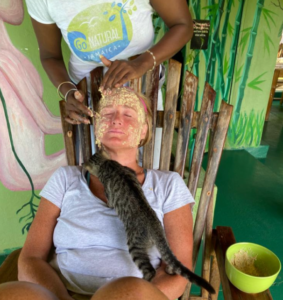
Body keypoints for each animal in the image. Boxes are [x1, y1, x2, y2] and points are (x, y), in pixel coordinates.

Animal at [84, 154, 215, 294]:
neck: (107, 163)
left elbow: (109, 201)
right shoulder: (130, 171)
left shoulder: (109, 192)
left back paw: (144, 279)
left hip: (135, 246)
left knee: (150, 270)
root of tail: (155, 228)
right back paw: (170, 269)